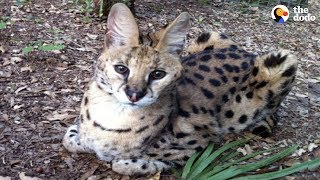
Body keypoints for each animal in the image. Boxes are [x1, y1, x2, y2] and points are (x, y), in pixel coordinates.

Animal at [62, 2, 298, 176]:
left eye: (158, 74)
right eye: (121, 69)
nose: (134, 95)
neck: (113, 114)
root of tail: (247, 54)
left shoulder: (201, 144)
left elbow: (123, 163)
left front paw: (146, 164)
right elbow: (70, 138)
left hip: (283, 60)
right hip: (208, 34)